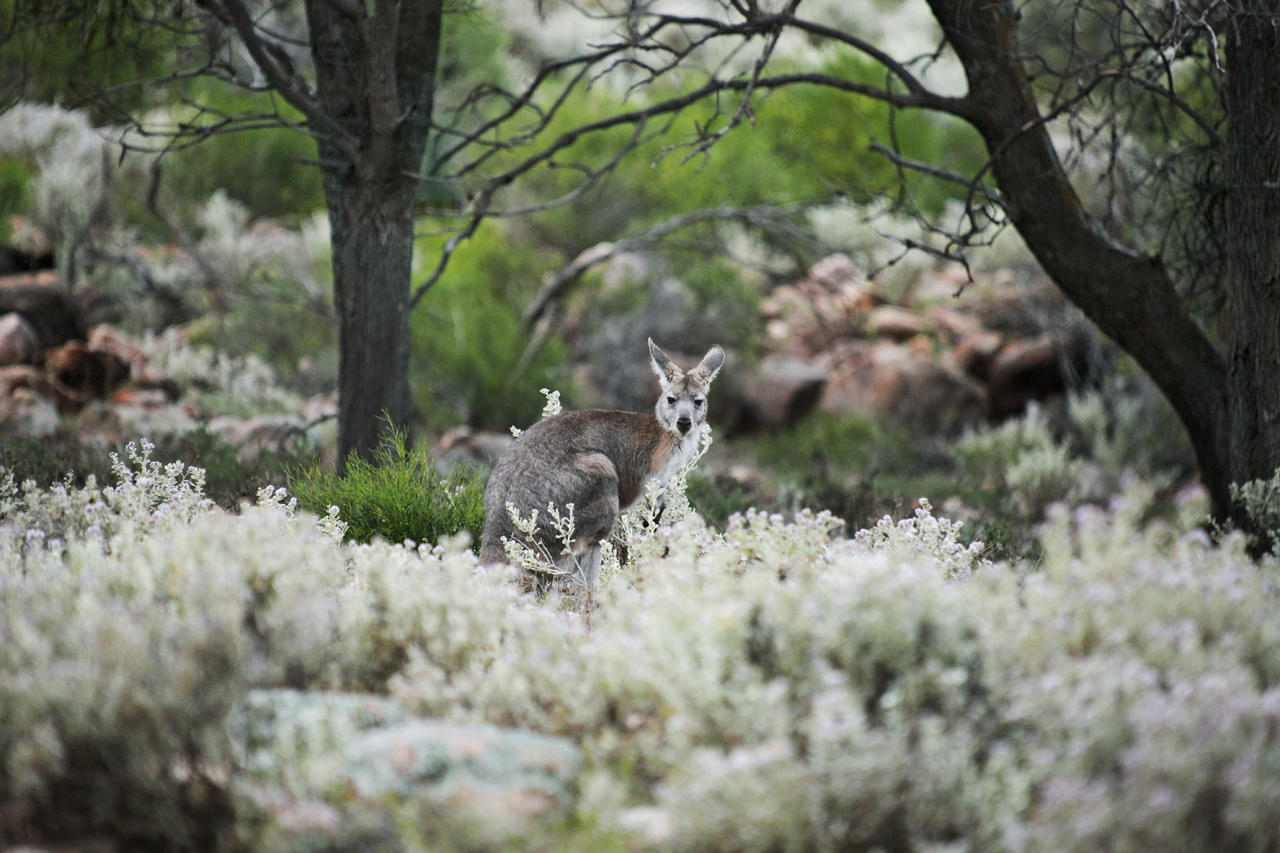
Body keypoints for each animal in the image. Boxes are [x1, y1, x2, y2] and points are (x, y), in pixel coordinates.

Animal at [479, 338, 725, 592]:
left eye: (698, 402)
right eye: (671, 399)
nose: (684, 423)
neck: (665, 433)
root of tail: (499, 528)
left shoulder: (662, 481)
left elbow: (656, 513)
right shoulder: (650, 474)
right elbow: (649, 515)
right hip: (599, 482)